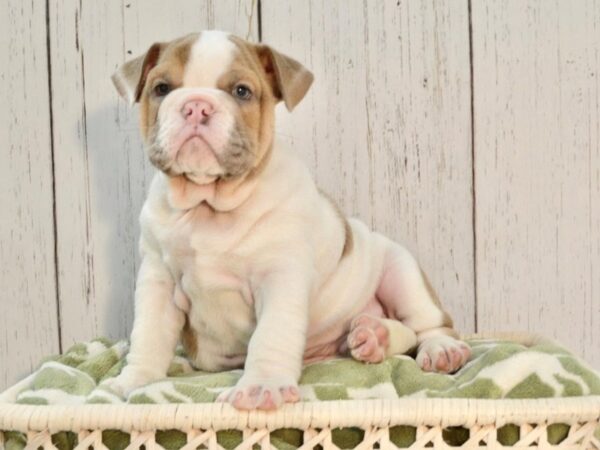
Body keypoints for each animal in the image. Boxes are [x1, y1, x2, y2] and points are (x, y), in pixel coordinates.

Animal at [109, 29, 474, 410]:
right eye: (162, 88)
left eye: (242, 91)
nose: (196, 105)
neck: (208, 204)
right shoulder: (158, 280)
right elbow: (148, 334)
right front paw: (134, 380)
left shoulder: (280, 277)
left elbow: (271, 334)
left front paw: (261, 385)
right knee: (401, 333)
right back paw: (374, 335)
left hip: (401, 270)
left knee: (426, 324)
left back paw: (440, 348)